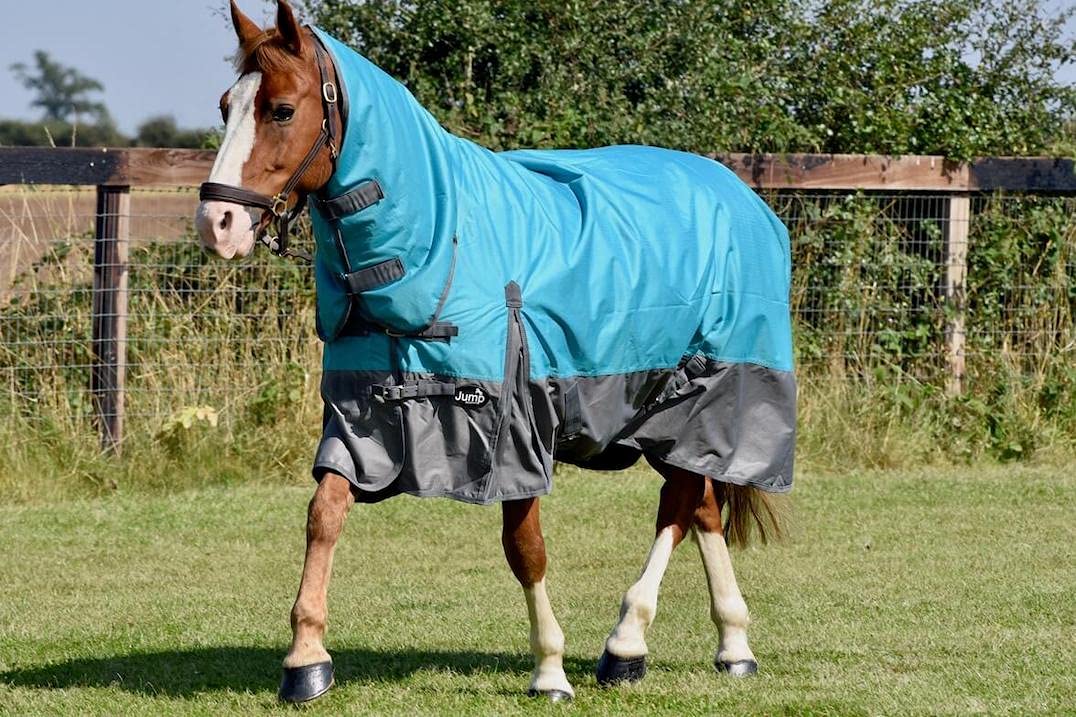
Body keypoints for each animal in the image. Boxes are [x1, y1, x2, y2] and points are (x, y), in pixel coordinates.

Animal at [195, 0, 795, 704]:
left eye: (283, 109)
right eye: (225, 106)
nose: (218, 225)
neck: (440, 245)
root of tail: (740, 195)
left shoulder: (514, 423)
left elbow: (524, 546)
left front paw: (550, 670)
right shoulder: (363, 422)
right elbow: (326, 514)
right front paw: (306, 659)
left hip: (704, 395)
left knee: (678, 506)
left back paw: (627, 643)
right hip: (663, 410)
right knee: (699, 505)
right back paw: (727, 646)